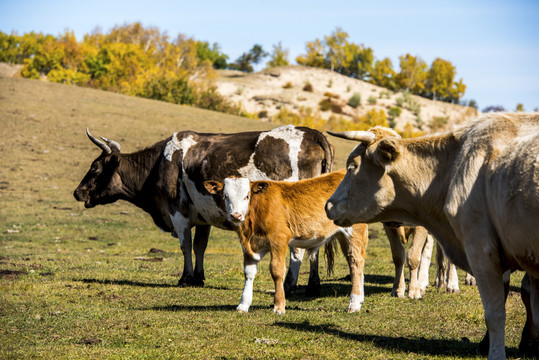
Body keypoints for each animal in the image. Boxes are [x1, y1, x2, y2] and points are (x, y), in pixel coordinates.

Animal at [71, 125, 334, 288]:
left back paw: (290, 284)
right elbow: (200, 246)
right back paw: (312, 284)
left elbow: (186, 245)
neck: (160, 164)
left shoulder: (178, 212)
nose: (77, 192)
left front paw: (186, 277)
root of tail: (312, 133)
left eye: (95, 167)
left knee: (298, 249)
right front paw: (198, 277)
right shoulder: (204, 215)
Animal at [205, 170, 370, 314]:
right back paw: (360, 298)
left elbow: (277, 271)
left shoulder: (279, 240)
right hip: (343, 236)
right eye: (225, 196)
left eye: (247, 196)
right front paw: (243, 305)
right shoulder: (250, 246)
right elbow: (249, 273)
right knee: (355, 262)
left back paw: (354, 304)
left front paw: (279, 306)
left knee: (355, 262)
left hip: (353, 232)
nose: (236, 215)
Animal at [324, 112, 539, 358]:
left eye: (352, 166)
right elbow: (399, 257)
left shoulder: (481, 250)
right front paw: (399, 289)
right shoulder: (392, 226)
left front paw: (415, 290)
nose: (328, 205)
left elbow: (495, 312)